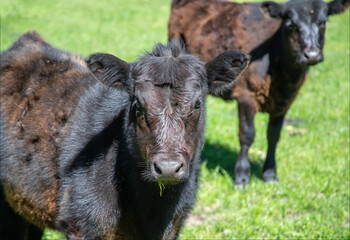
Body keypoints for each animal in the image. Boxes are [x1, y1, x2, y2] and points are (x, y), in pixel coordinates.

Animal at [168, 0, 348, 186]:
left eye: (323, 23)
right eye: (290, 25)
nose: (311, 55)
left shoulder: (285, 102)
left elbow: (274, 135)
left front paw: (270, 174)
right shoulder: (247, 96)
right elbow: (247, 135)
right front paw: (242, 176)